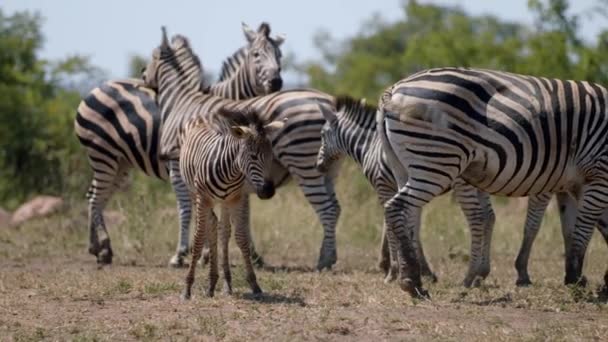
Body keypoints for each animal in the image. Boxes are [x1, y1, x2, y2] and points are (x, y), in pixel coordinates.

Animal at [74, 22, 284, 268]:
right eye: (256, 54)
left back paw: (98, 248)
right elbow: (190, 207)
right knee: (96, 197)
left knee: (95, 196)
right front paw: (193, 252)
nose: (276, 82)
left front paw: (250, 254)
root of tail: (97, 88)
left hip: (120, 163)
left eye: (279, 55)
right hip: (103, 155)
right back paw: (103, 249)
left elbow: (241, 209)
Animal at [166, 107, 284, 300]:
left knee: (221, 229)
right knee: (211, 226)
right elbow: (198, 238)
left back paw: (222, 283)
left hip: (224, 201)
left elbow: (241, 238)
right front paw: (187, 288)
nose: (268, 191)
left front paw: (254, 284)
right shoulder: (203, 199)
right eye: (253, 156)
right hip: (194, 193)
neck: (230, 171)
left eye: (271, 157)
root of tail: (204, 115)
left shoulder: (236, 198)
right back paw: (211, 282)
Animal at [316, 95, 496, 286]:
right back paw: (481, 273)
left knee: (476, 217)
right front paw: (420, 269)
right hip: (480, 183)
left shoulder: (383, 187)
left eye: (322, 135)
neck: (370, 146)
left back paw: (471, 276)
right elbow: (411, 225)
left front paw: (393, 270)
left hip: (462, 183)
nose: (319, 166)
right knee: (488, 217)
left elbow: (390, 226)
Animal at [378, 66, 608, 296]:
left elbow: (573, 229)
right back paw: (412, 281)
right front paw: (578, 281)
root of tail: (394, 88)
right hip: (437, 162)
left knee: (411, 214)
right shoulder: (598, 176)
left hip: (405, 166)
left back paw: (414, 275)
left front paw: (579, 279)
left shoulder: (573, 184)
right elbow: (583, 230)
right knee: (397, 206)